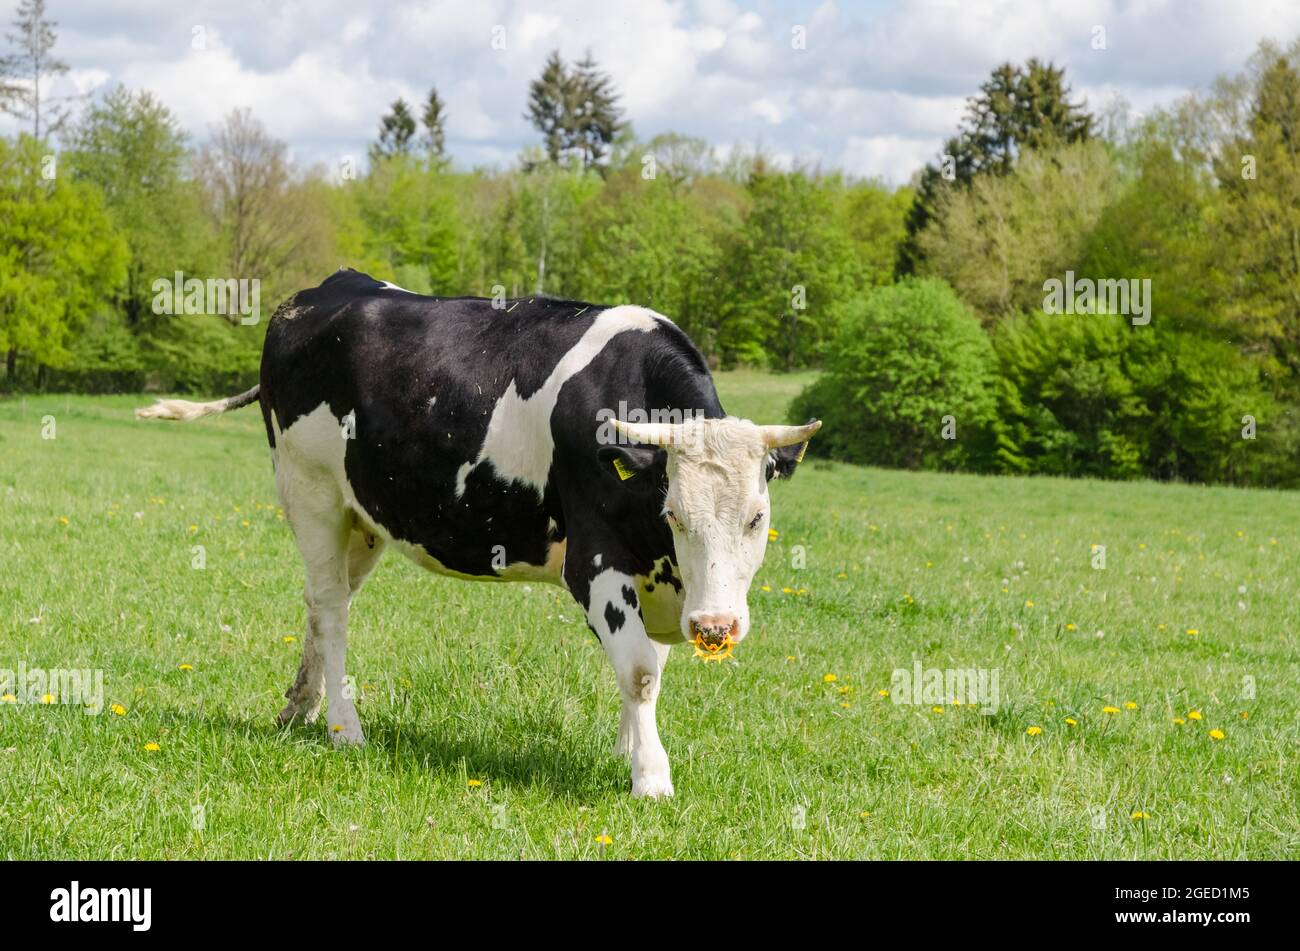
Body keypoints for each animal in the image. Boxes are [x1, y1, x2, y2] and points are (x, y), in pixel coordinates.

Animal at [137, 271, 816, 800]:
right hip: (311, 492)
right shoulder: (595, 558)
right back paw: (343, 727)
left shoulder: (666, 579)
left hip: (365, 516)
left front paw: (629, 751)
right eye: (674, 514)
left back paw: (300, 708)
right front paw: (651, 778)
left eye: (757, 517)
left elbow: (653, 666)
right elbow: (641, 671)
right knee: (331, 609)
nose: (716, 628)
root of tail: (318, 293)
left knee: (320, 600)